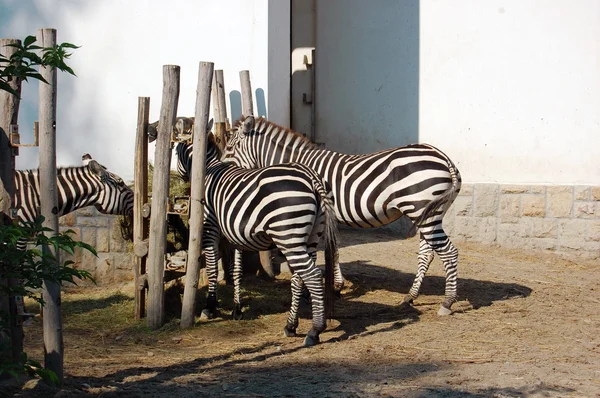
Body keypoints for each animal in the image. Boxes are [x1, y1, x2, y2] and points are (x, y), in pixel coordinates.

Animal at [176, 130, 340, 346]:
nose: (181, 181)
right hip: (310, 238)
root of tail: (312, 177)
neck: (209, 170)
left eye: (175, 151)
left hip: (289, 237)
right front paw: (237, 309)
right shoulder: (235, 235)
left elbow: (212, 268)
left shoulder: (210, 227)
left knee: (312, 275)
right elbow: (236, 271)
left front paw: (210, 307)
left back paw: (315, 331)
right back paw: (291, 326)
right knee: (299, 277)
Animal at [223, 116, 462, 318]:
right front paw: (335, 286)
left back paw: (447, 302)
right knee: (427, 253)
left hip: (421, 210)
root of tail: (443, 157)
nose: (221, 168)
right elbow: (334, 250)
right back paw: (410, 297)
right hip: (429, 213)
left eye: (229, 148)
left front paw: (320, 289)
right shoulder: (328, 218)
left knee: (449, 252)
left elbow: (323, 253)